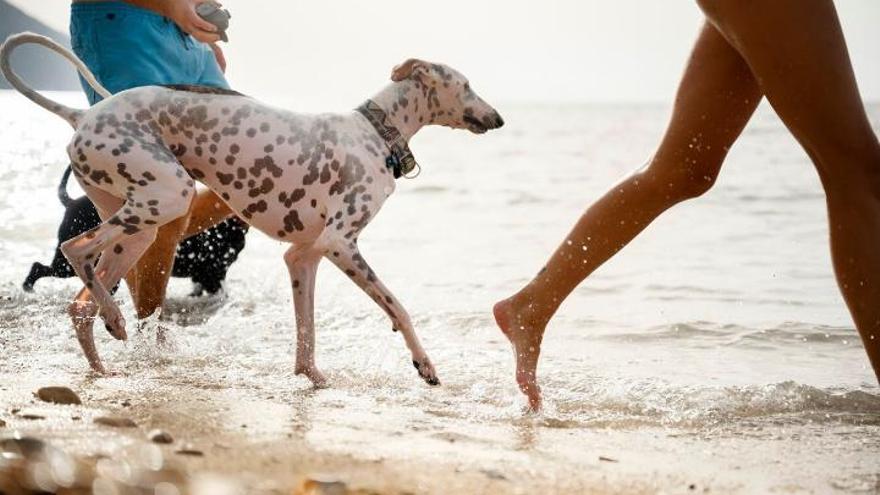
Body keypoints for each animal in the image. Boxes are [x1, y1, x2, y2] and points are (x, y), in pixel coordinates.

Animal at [23, 168, 248, 294]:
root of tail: (71, 203)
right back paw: (28, 287)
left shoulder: (207, 274)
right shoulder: (212, 271)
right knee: (38, 267)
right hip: (67, 265)